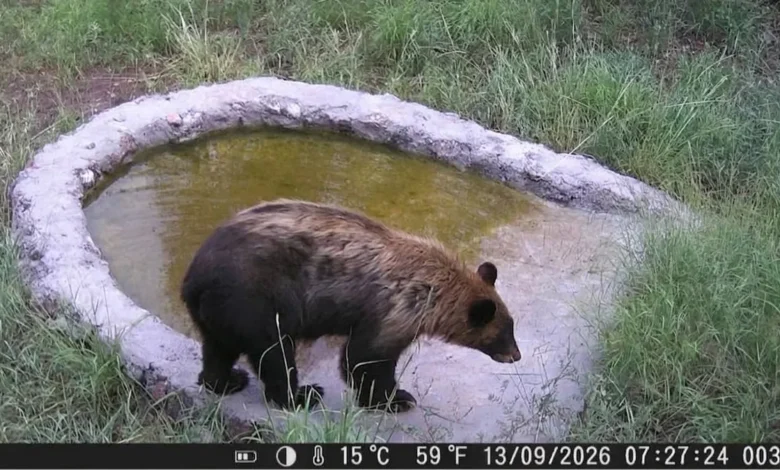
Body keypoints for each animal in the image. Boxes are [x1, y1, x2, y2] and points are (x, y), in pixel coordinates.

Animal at [180, 198, 522, 412]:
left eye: (511, 325)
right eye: (503, 332)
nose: (516, 355)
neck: (433, 289)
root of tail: (193, 278)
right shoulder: (393, 309)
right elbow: (365, 357)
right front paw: (395, 399)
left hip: (222, 309)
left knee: (218, 347)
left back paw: (226, 381)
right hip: (256, 298)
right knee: (274, 351)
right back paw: (301, 395)